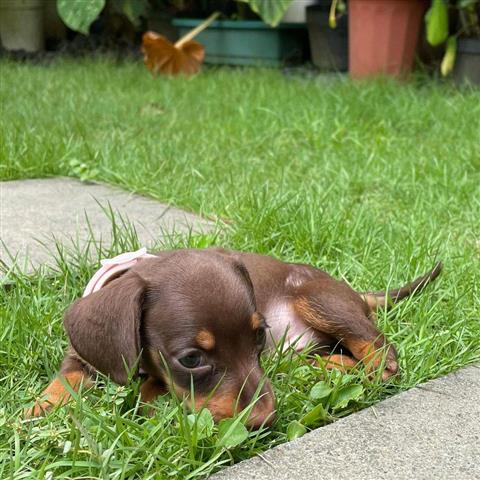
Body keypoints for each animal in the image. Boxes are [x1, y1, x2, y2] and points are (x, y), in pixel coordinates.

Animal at [29, 249, 442, 426]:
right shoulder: (82, 355)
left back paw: (373, 369)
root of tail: (356, 292)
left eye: (258, 335)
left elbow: (152, 389)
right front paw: (38, 410)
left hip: (316, 297)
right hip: (295, 350)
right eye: (191, 359)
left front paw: (151, 400)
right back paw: (328, 368)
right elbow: (65, 379)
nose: (264, 421)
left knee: (378, 347)